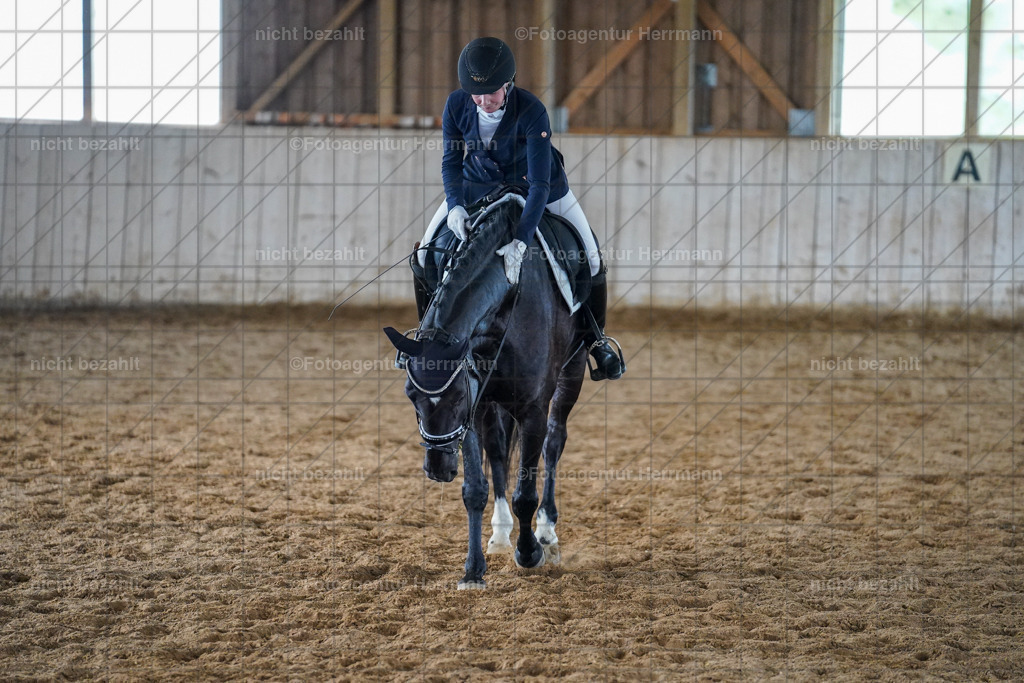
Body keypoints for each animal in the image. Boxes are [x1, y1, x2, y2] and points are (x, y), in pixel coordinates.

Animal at [384, 192, 589, 589]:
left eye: (456, 398)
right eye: (411, 396)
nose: (438, 469)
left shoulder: (530, 407)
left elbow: (527, 491)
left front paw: (529, 553)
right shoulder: (477, 405)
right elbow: (475, 489)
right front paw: (473, 570)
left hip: (571, 374)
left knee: (554, 443)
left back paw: (546, 532)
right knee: (496, 450)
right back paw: (500, 533)